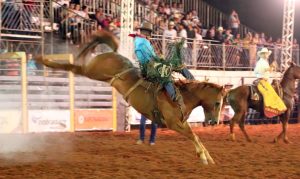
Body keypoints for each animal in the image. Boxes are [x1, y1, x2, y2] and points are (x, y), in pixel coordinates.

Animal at [35, 31, 226, 165]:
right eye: (218, 103)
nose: (214, 122)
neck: (182, 97)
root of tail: (113, 54)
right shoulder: (174, 123)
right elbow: (193, 135)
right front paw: (204, 157)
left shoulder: (180, 123)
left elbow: (196, 136)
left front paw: (208, 157)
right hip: (92, 71)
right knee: (73, 67)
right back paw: (44, 60)